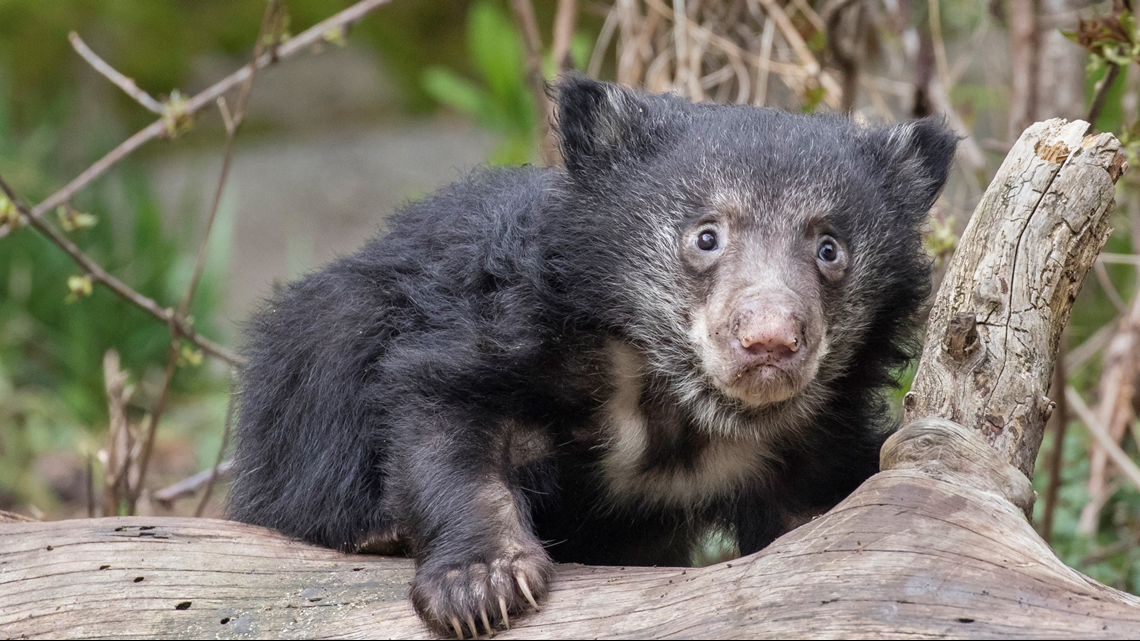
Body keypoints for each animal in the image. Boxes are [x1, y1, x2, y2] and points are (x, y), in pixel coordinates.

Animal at [227, 73, 957, 638]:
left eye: (830, 249)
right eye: (706, 237)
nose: (770, 341)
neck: (678, 399)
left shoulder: (811, 441)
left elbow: (821, 509)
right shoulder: (507, 330)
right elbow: (446, 417)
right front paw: (480, 586)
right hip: (325, 344)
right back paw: (375, 530)